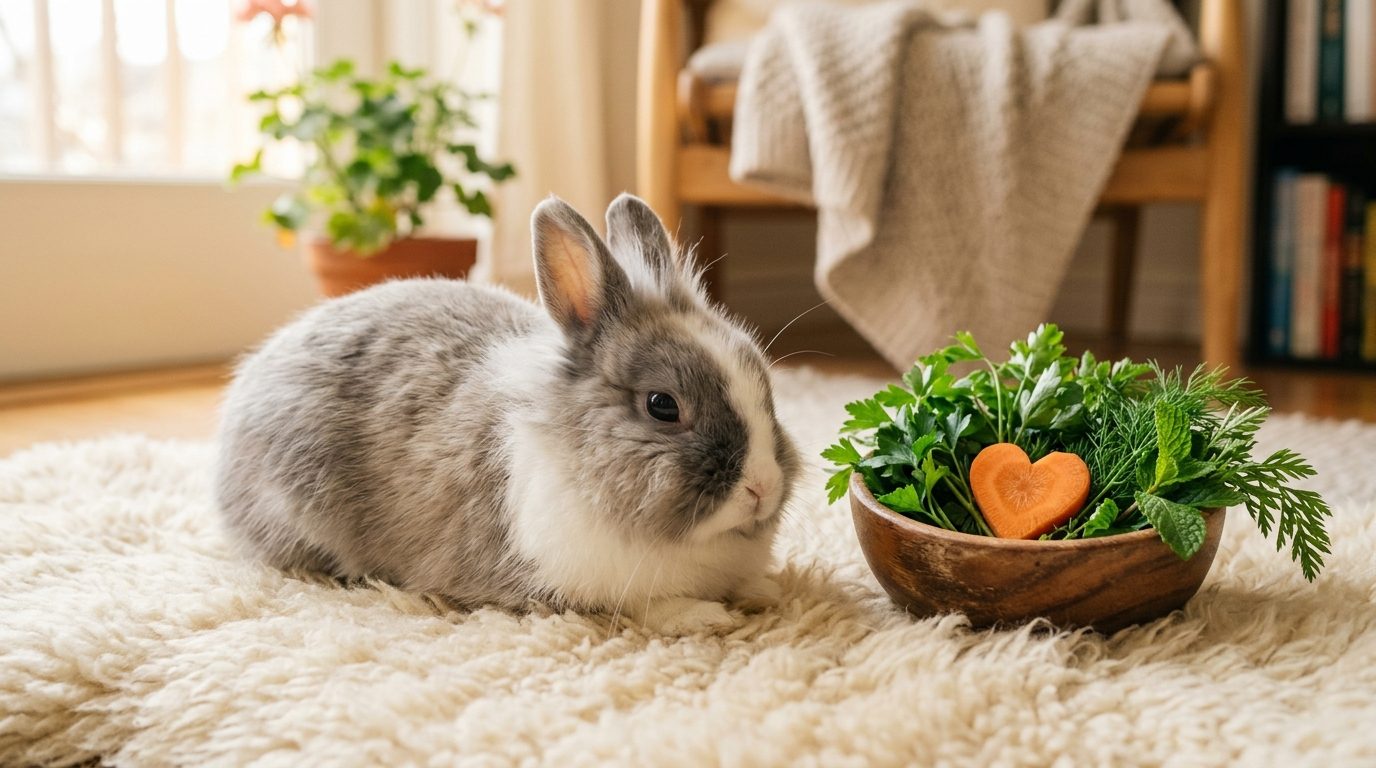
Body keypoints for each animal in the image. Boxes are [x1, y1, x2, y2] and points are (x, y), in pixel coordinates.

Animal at [215, 193, 800, 634]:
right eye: (663, 406)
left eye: (765, 384)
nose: (763, 487)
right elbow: (646, 606)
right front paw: (707, 617)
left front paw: (766, 590)